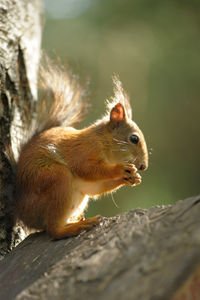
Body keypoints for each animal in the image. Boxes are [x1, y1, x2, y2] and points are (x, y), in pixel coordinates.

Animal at [14, 59, 148, 240]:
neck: (105, 142)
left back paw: (75, 220)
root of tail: (22, 214)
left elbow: (95, 188)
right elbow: (87, 168)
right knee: (53, 230)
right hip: (55, 178)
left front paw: (131, 177)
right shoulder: (84, 150)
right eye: (134, 139)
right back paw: (76, 227)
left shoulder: (89, 184)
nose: (143, 166)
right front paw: (120, 170)